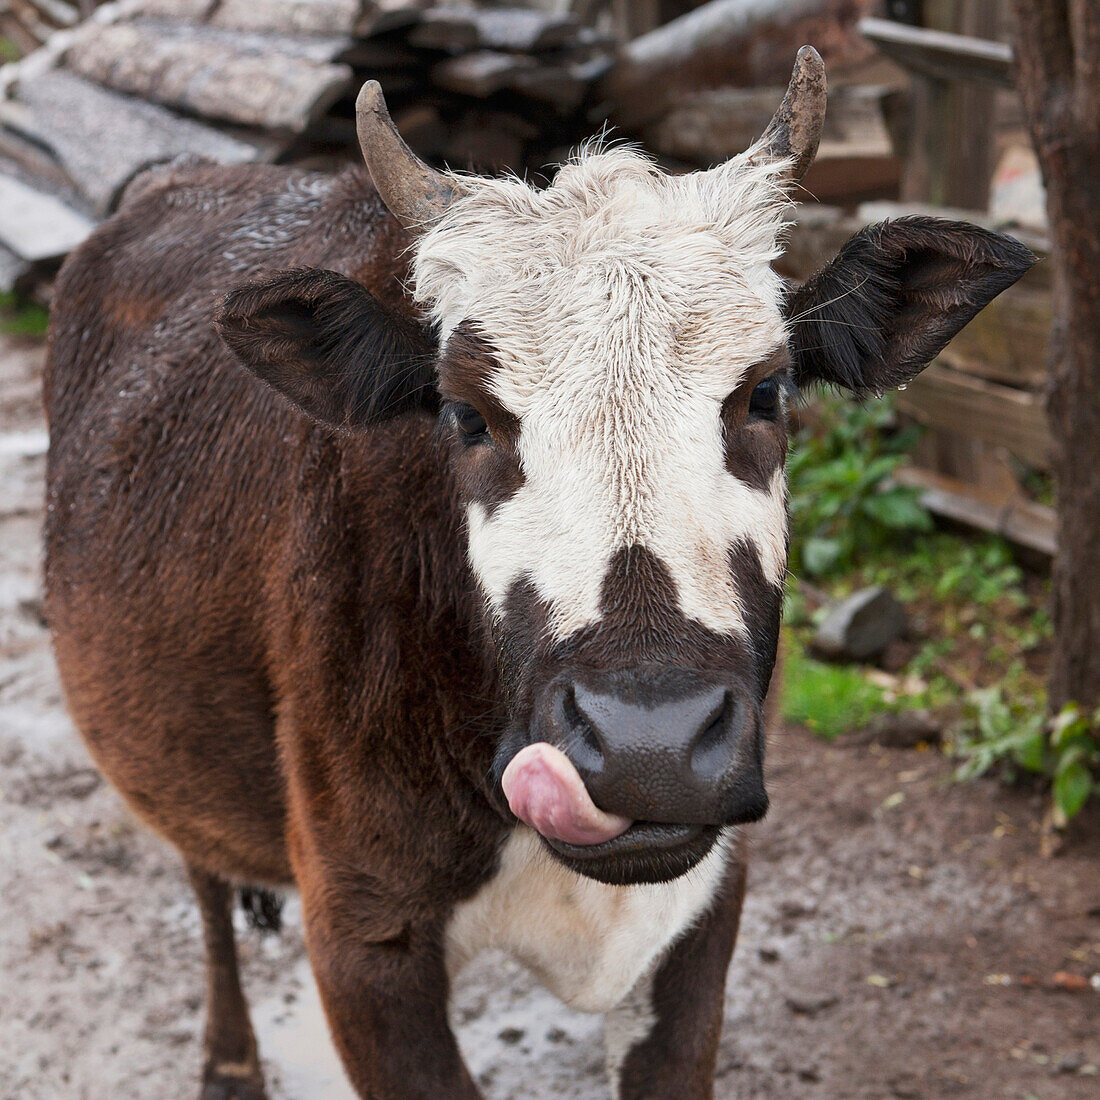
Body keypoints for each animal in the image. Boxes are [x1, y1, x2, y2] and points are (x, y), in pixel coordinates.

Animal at [45, 49, 1038, 1100]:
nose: (649, 743)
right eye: (467, 414)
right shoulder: (362, 938)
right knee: (200, 869)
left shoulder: (706, 903)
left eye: (766, 390)